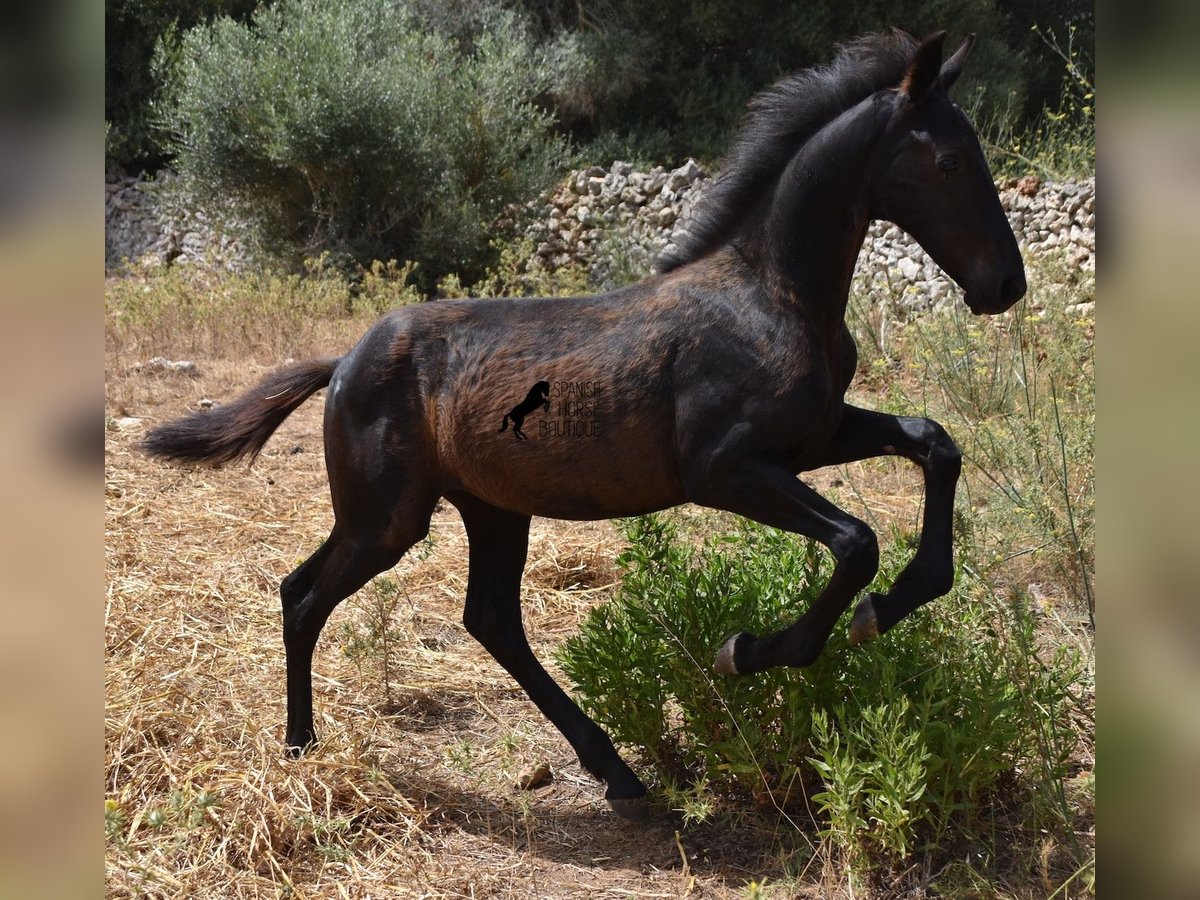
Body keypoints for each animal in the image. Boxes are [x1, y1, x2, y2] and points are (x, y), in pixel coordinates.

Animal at [140, 33, 1022, 825]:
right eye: (948, 161)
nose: (1005, 285)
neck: (771, 294)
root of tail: (345, 360)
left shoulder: (815, 439)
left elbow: (935, 443)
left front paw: (892, 604)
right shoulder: (726, 470)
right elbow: (855, 541)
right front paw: (750, 650)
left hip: (488, 508)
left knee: (485, 618)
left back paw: (618, 774)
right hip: (386, 517)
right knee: (306, 597)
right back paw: (302, 751)